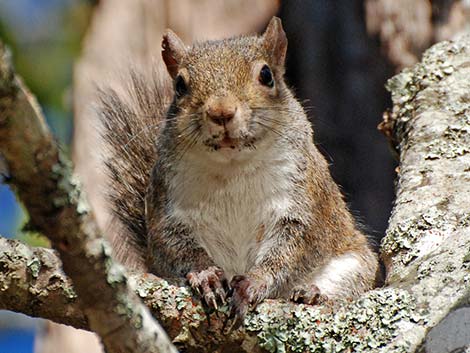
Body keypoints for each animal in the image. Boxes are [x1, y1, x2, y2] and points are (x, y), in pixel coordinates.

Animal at [100, 17, 382, 322]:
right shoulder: (167, 208)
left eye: (266, 75)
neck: (232, 166)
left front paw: (254, 282)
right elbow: (176, 246)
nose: (221, 112)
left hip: (355, 263)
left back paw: (314, 293)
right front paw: (207, 275)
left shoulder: (304, 201)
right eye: (180, 85)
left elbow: (291, 248)